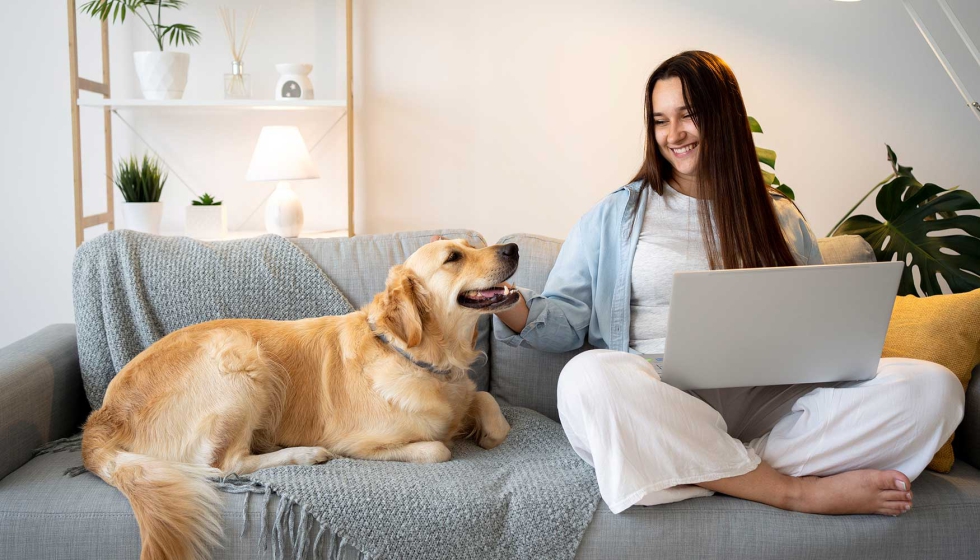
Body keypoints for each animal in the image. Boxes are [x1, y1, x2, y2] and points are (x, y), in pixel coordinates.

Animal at [78, 238, 520, 556]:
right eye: (453, 257)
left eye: (472, 244)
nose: (513, 248)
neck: (415, 354)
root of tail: (103, 414)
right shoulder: (361, 443)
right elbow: (437, 448)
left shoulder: (462, 390)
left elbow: (486, 401)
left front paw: (485, 431)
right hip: (242, 357)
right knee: (224, 465)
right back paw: (305, 454)